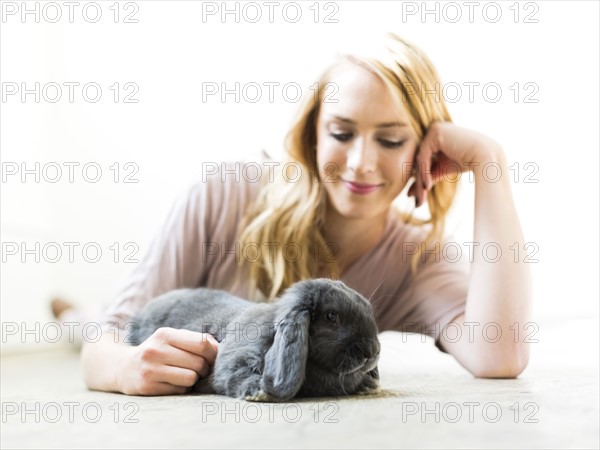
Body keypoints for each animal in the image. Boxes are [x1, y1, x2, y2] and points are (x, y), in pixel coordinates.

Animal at [127, 278, 380, 400]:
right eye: (331, 317)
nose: (373, 351)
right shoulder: (235, 361)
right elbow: (236, 376)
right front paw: (259, 392)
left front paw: (368, 386)